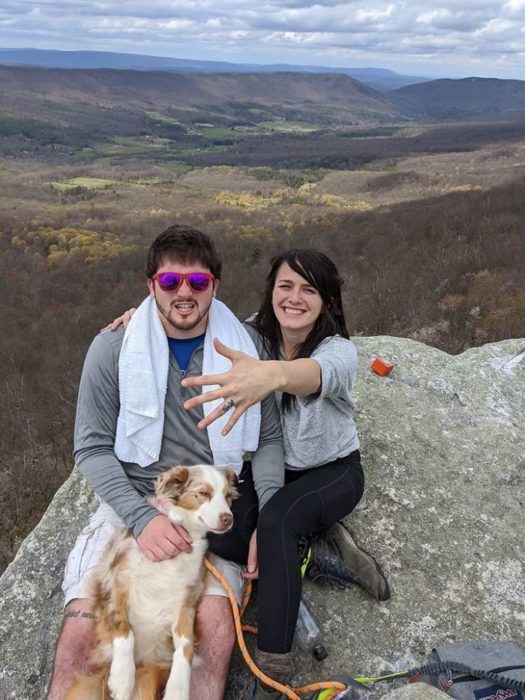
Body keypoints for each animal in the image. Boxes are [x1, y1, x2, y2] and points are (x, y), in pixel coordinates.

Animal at [65, 464, 237, 700]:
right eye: (203, 493)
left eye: (228, 496)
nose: (228, 518)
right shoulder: (116, 582)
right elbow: (124, 630)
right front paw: (121, 678)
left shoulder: (187, 598)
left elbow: (186, 646)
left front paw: (178, 689)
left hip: (147, 681)